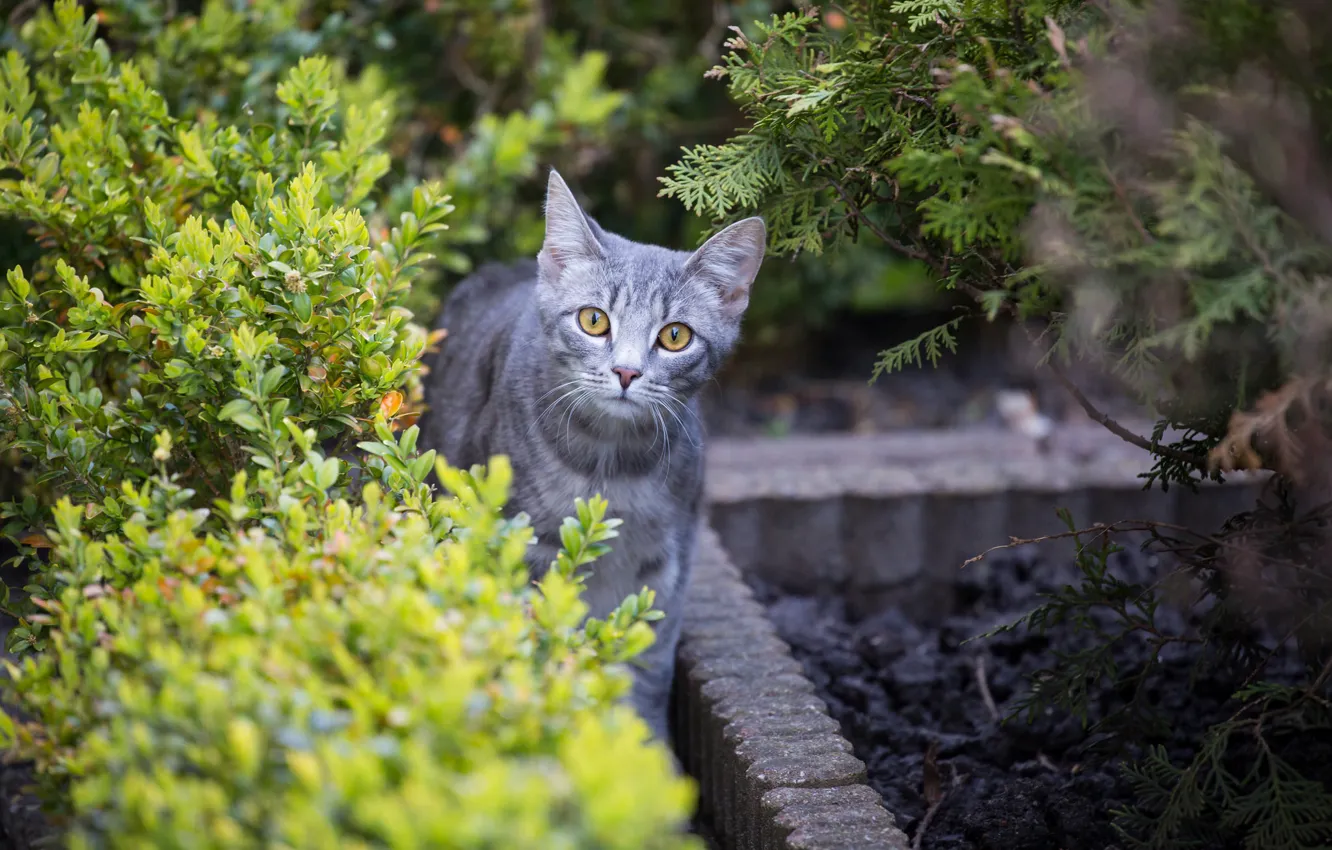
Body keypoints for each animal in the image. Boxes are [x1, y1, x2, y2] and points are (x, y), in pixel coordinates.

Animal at [420, 169, 767, 740]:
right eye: (594, 321)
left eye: (675, 336)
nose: (626, 371)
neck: (611, 464)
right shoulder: (527, 548)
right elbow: (532, 643)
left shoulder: (667, 566)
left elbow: (645, 667)